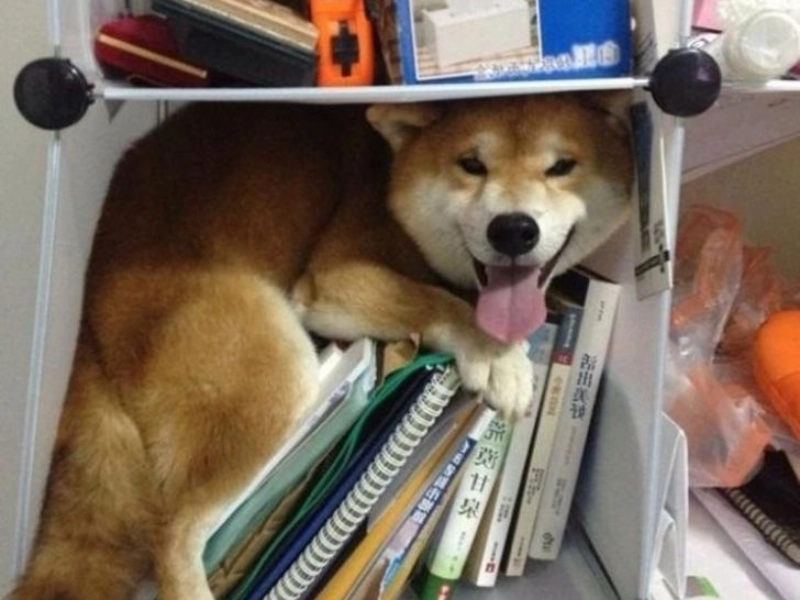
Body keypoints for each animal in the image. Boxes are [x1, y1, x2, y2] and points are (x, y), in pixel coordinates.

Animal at [8, 93, 633, 600]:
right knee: (173, 536)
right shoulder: (337, 278)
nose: (514, 229)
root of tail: (91, 312)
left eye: (562, 167)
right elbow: (436, 300)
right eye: (471, 165)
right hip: (274, 372)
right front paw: (499, 356)